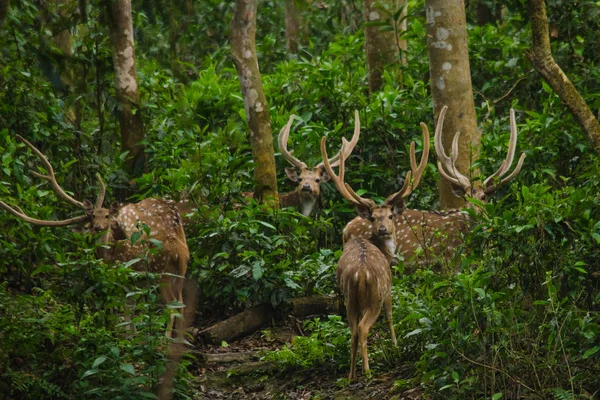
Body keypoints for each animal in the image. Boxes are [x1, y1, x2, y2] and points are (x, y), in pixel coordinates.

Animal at [0, 135, 189, 338]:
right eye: (91, 217)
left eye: (106, 215)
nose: (99, 227)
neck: (108, 255)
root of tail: (180, 251)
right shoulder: (130, 283)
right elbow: (129, 314)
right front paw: (132, 337)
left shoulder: (121, 279)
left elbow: (124, 313)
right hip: (179, 274)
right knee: (182, 305)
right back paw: (179, 340)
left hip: (162, 274)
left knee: (173, 308)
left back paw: (165, 339)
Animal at [324, 116, 432, 382]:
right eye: (374, 217)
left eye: (390, 216)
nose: (383, 229)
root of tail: (360, 275)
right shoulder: (389, 287)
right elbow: (392, 316)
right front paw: (395, 345)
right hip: (375, 295)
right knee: (363, 328)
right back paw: (367, 371)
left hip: (350, 298)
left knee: (352, 330)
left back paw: (351, 374)